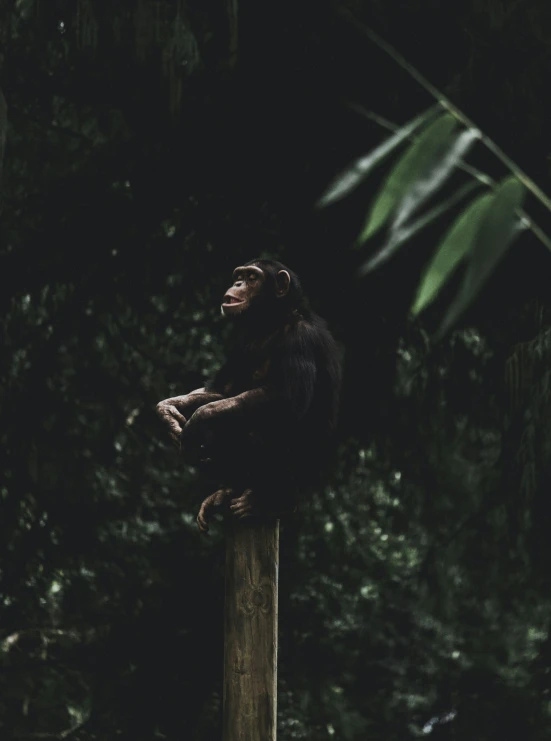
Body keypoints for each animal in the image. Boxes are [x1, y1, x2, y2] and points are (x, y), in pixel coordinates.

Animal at [155, 260, 342, 532]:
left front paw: (199, 418)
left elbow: (287, 400)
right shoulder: (242, 340)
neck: (271, 322)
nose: (237, 283)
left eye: (252, 277)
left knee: (256, 430)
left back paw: (269, 502)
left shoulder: (301, 340)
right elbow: (222, 390)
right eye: (240, 275)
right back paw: (227, 491)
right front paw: (167, 411)